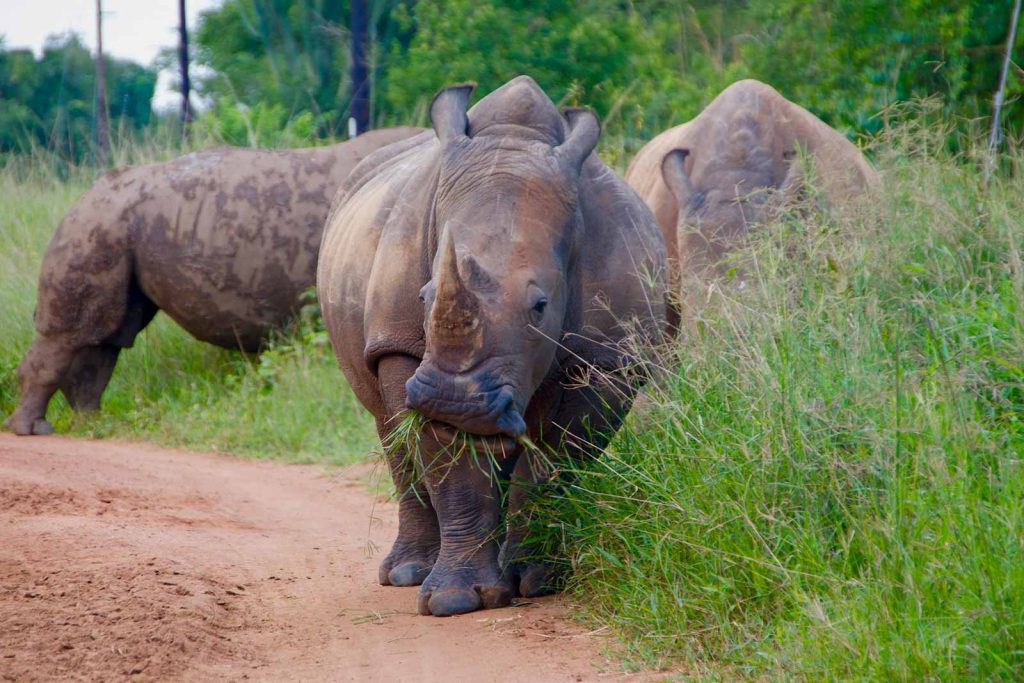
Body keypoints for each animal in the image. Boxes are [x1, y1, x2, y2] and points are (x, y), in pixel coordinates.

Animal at [6, 127, 422, 436]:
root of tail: (84, 194)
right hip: (98, 223)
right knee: (77, 332)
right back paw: (33, 429)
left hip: (114, 224)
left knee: (108, 335)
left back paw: (91, 424)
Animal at [317, 76, 668, 617]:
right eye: (424, 297)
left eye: (540, 306)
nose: (455, 400)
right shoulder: (403, 347)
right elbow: (449, 463)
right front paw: (455, 600)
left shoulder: (607, 360)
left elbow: (554, 463)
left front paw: (540, 580)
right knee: (392, 430)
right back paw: (406, 574)